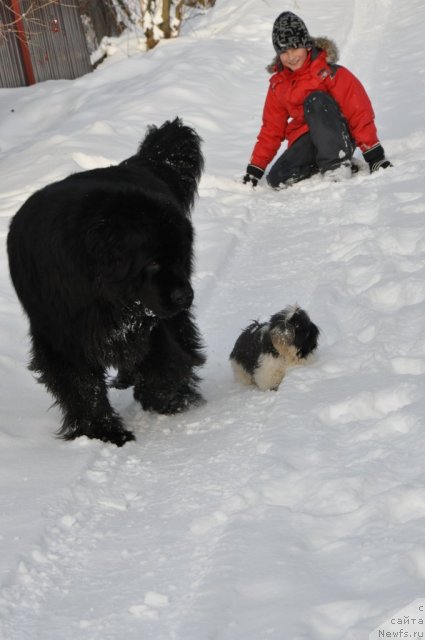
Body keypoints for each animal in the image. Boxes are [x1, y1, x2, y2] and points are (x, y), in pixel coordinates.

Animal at [6, 117, 205, 444]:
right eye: (152, 262)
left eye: (178, 257)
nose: (185, 296)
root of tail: (140, 164)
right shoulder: (61, 337)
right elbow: (82, 388)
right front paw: (105, 432)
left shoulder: (145, 319)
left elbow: (160, 355)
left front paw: (168, 397)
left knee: (180, 335)